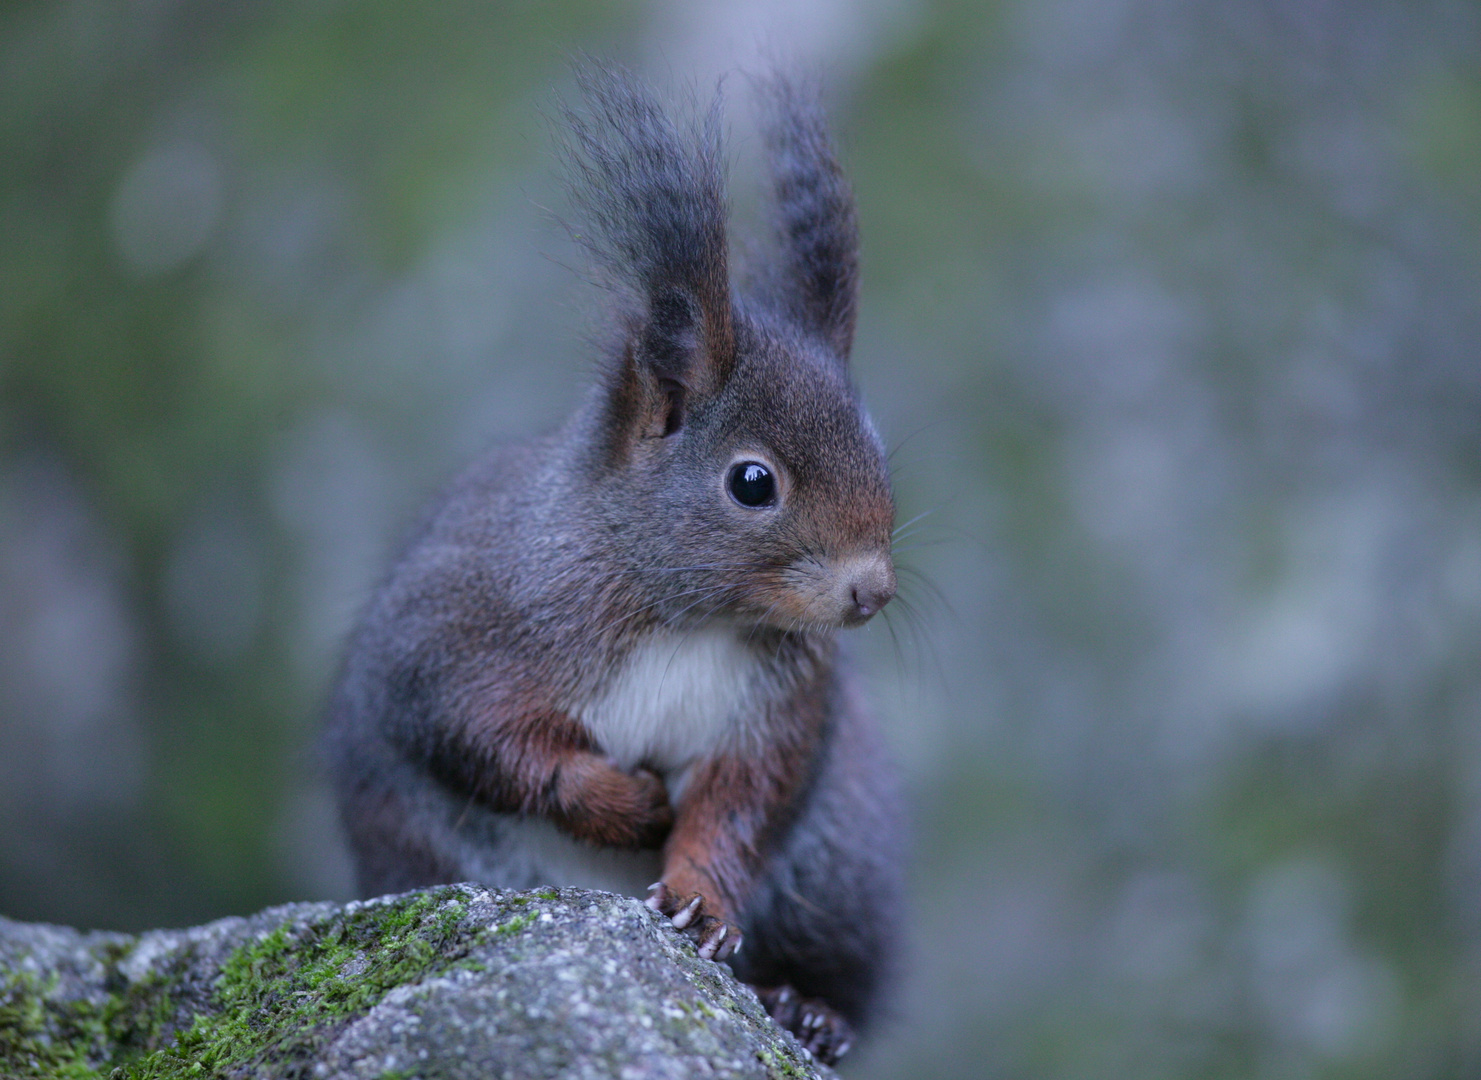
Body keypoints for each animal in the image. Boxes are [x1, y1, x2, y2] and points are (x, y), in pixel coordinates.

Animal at [325, 61, 900, 1060]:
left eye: (879, 447)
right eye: (752, 482)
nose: (872, 590)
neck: (689, 616)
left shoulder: (784, 711)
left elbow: (739, 805)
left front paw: (701, 902)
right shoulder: (453, 632)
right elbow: (480, 738)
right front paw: (623, 805)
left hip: (841, 869)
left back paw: (806, 1010)